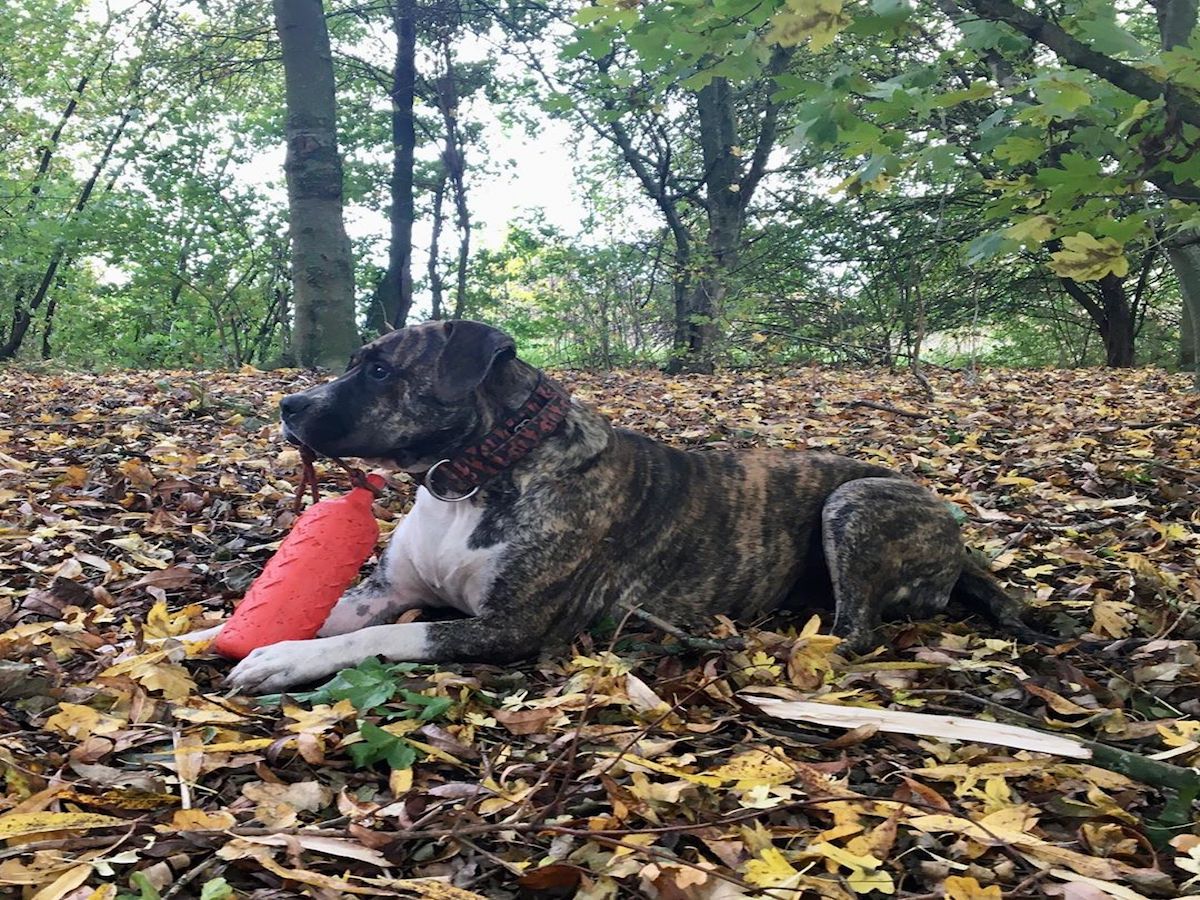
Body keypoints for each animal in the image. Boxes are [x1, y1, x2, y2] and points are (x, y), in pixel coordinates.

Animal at [223, 321, 1032, 696]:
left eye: (381, 370)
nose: (288, 405)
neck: (473, 479)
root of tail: (957, 537)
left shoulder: (505, 627)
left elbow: (381, 639)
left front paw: (284, 659)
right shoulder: (386, 589)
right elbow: (330, 616)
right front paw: (220, 636)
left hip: (853, 502)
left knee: (856, 631)